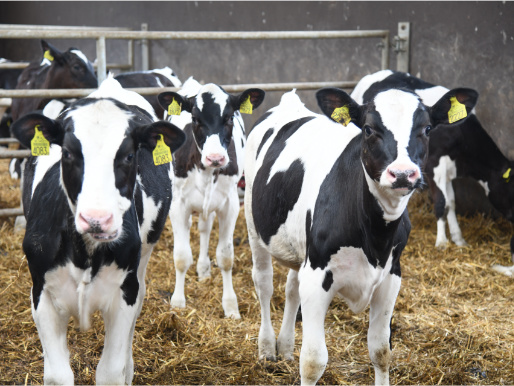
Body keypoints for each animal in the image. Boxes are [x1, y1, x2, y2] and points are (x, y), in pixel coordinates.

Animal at [10, 77, 184, 384]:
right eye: (67, 153)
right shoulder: (41, 292)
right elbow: (58, 375)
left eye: (129, 155)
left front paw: (122, 370)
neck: (85, 254)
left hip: (142, 260)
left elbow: (110, 371)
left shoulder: (123, 292)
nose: (96, 219)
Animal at [157, 77, 264, 316]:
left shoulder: (230, 205)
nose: (215, 157)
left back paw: (204, 269)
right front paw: (178, 302)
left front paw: (231, 306)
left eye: (229, 117)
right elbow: (181, 257)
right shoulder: (177, 205)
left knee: (205, 228)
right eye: (195, 119)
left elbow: (226, 257)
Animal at [244, 86, 476, 382]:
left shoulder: (391, 277)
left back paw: (284, 347)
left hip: (300, 250)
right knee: (263, 283)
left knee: (291, 288)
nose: (403, 174)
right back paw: (266, 348)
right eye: (368, 129)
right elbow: (313, 361)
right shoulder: (317, 275)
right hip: (254, 224)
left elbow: (381, 351)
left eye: (426, 128)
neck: (375, 237)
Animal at [352, 71, 512, 266]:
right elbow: (441, 202)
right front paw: (442, 242)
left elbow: (451, 202)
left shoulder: (449, 169)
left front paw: (458, 239)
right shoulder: (435, 164)